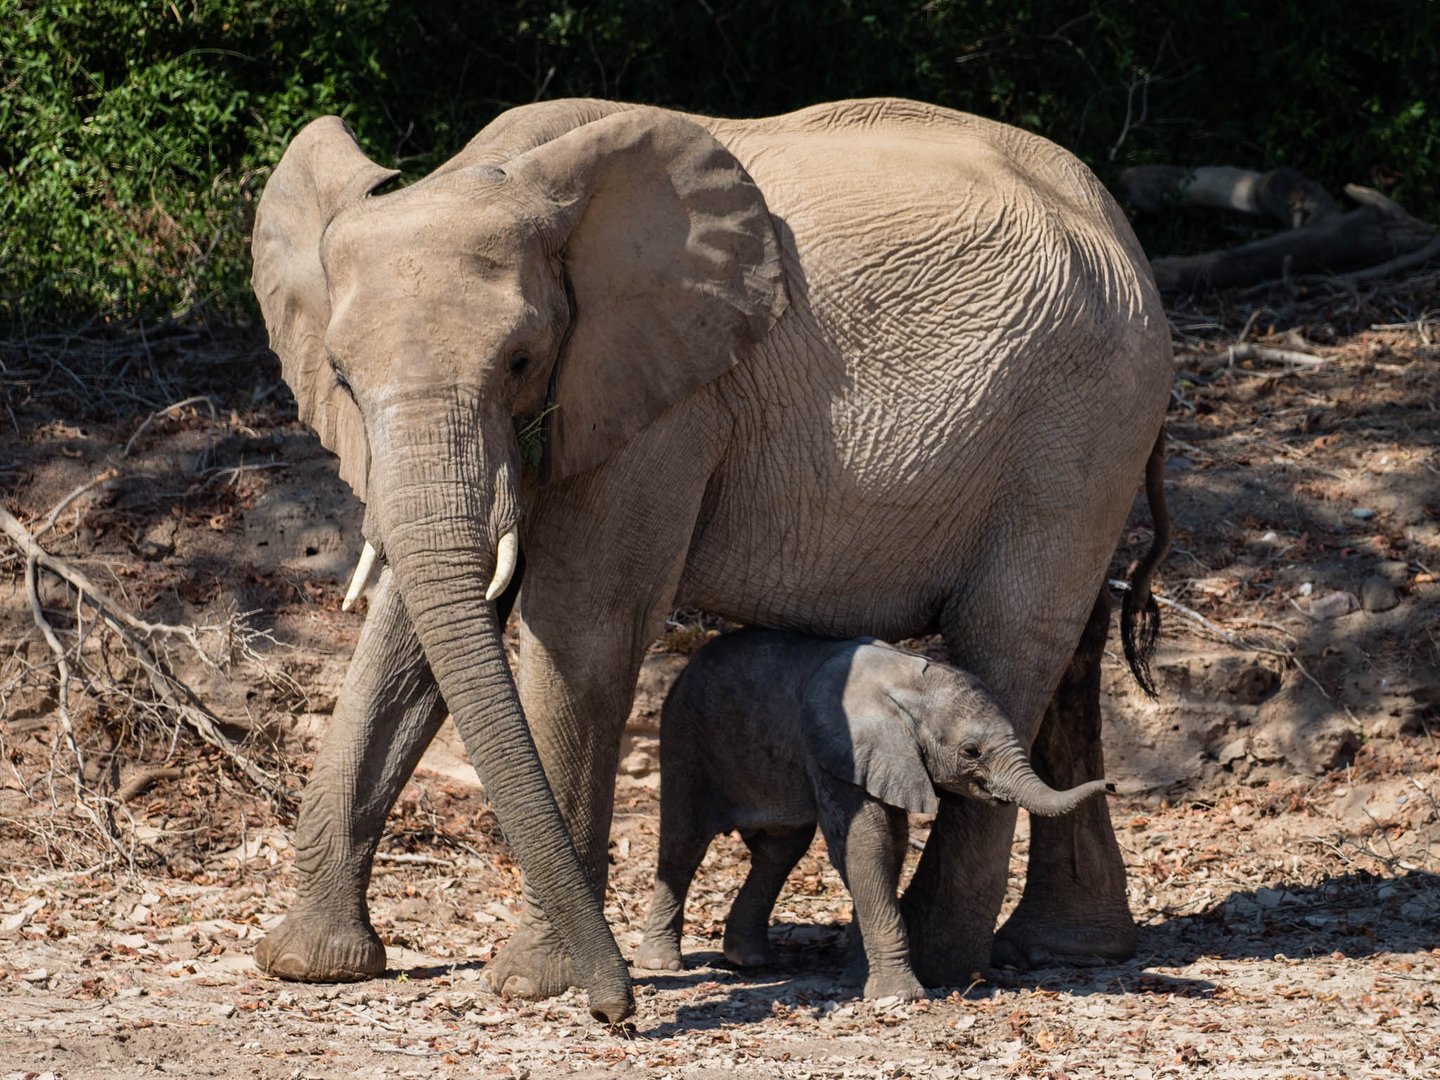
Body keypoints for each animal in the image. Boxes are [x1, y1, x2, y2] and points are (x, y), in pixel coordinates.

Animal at [639, 630, 1111, 1002]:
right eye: (971, 752)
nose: (1110, 785)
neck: (908, 683)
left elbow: (890, 844)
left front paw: (857, 979)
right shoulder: (839, 749)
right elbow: (867, 842)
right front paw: (898, 996)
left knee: (781, 848)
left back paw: (749, 958)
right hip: (685, 734)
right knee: (685, 840)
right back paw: (661, 963)